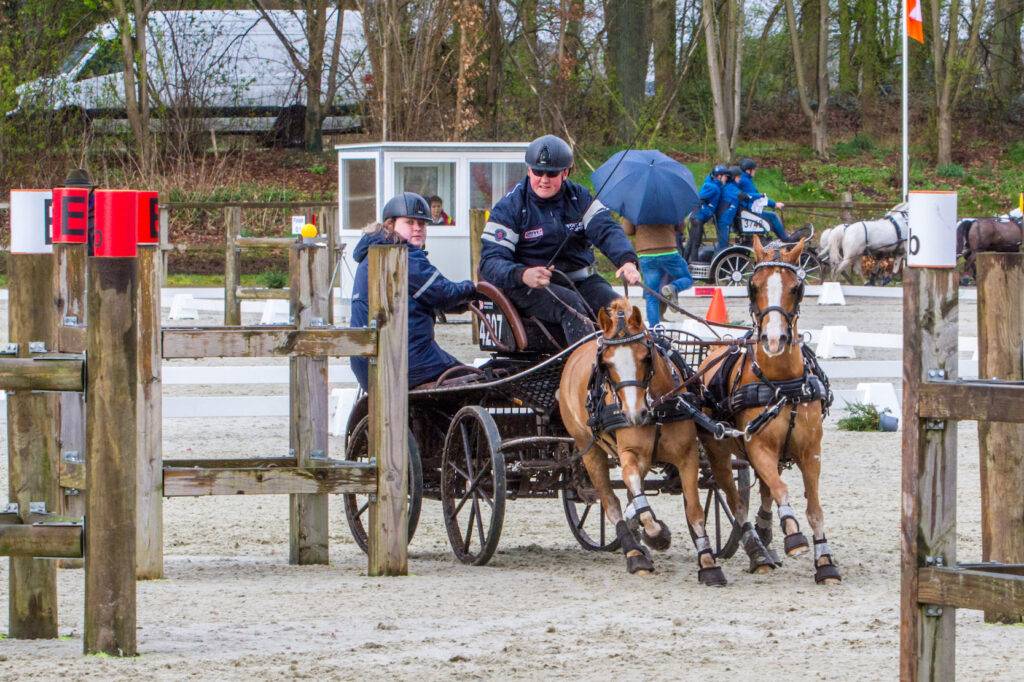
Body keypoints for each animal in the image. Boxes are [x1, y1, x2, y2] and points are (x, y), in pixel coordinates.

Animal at [558, 297, 730, 585]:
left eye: (645, 357)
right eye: (606, 364)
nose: (634, 414)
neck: (657, 408)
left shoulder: (687, 456)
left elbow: (694, 510)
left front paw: (708, 563)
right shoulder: (630, 454)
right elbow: (638, 499)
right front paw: (657, 535)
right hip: (588, 449)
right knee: (611, 502)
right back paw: (635, 553)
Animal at [697, 237, 841, 585]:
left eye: (797, 288)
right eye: (753, 285)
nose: (774, 339)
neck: (780, 383)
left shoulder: (810, 451)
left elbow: (814, 508)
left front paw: (825, 560)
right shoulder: (758, 446)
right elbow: (780, 489)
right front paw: (793, 535)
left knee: (761, 491)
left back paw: (765, 535)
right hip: (719, 453)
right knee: (734, 501)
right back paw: (757, 550)